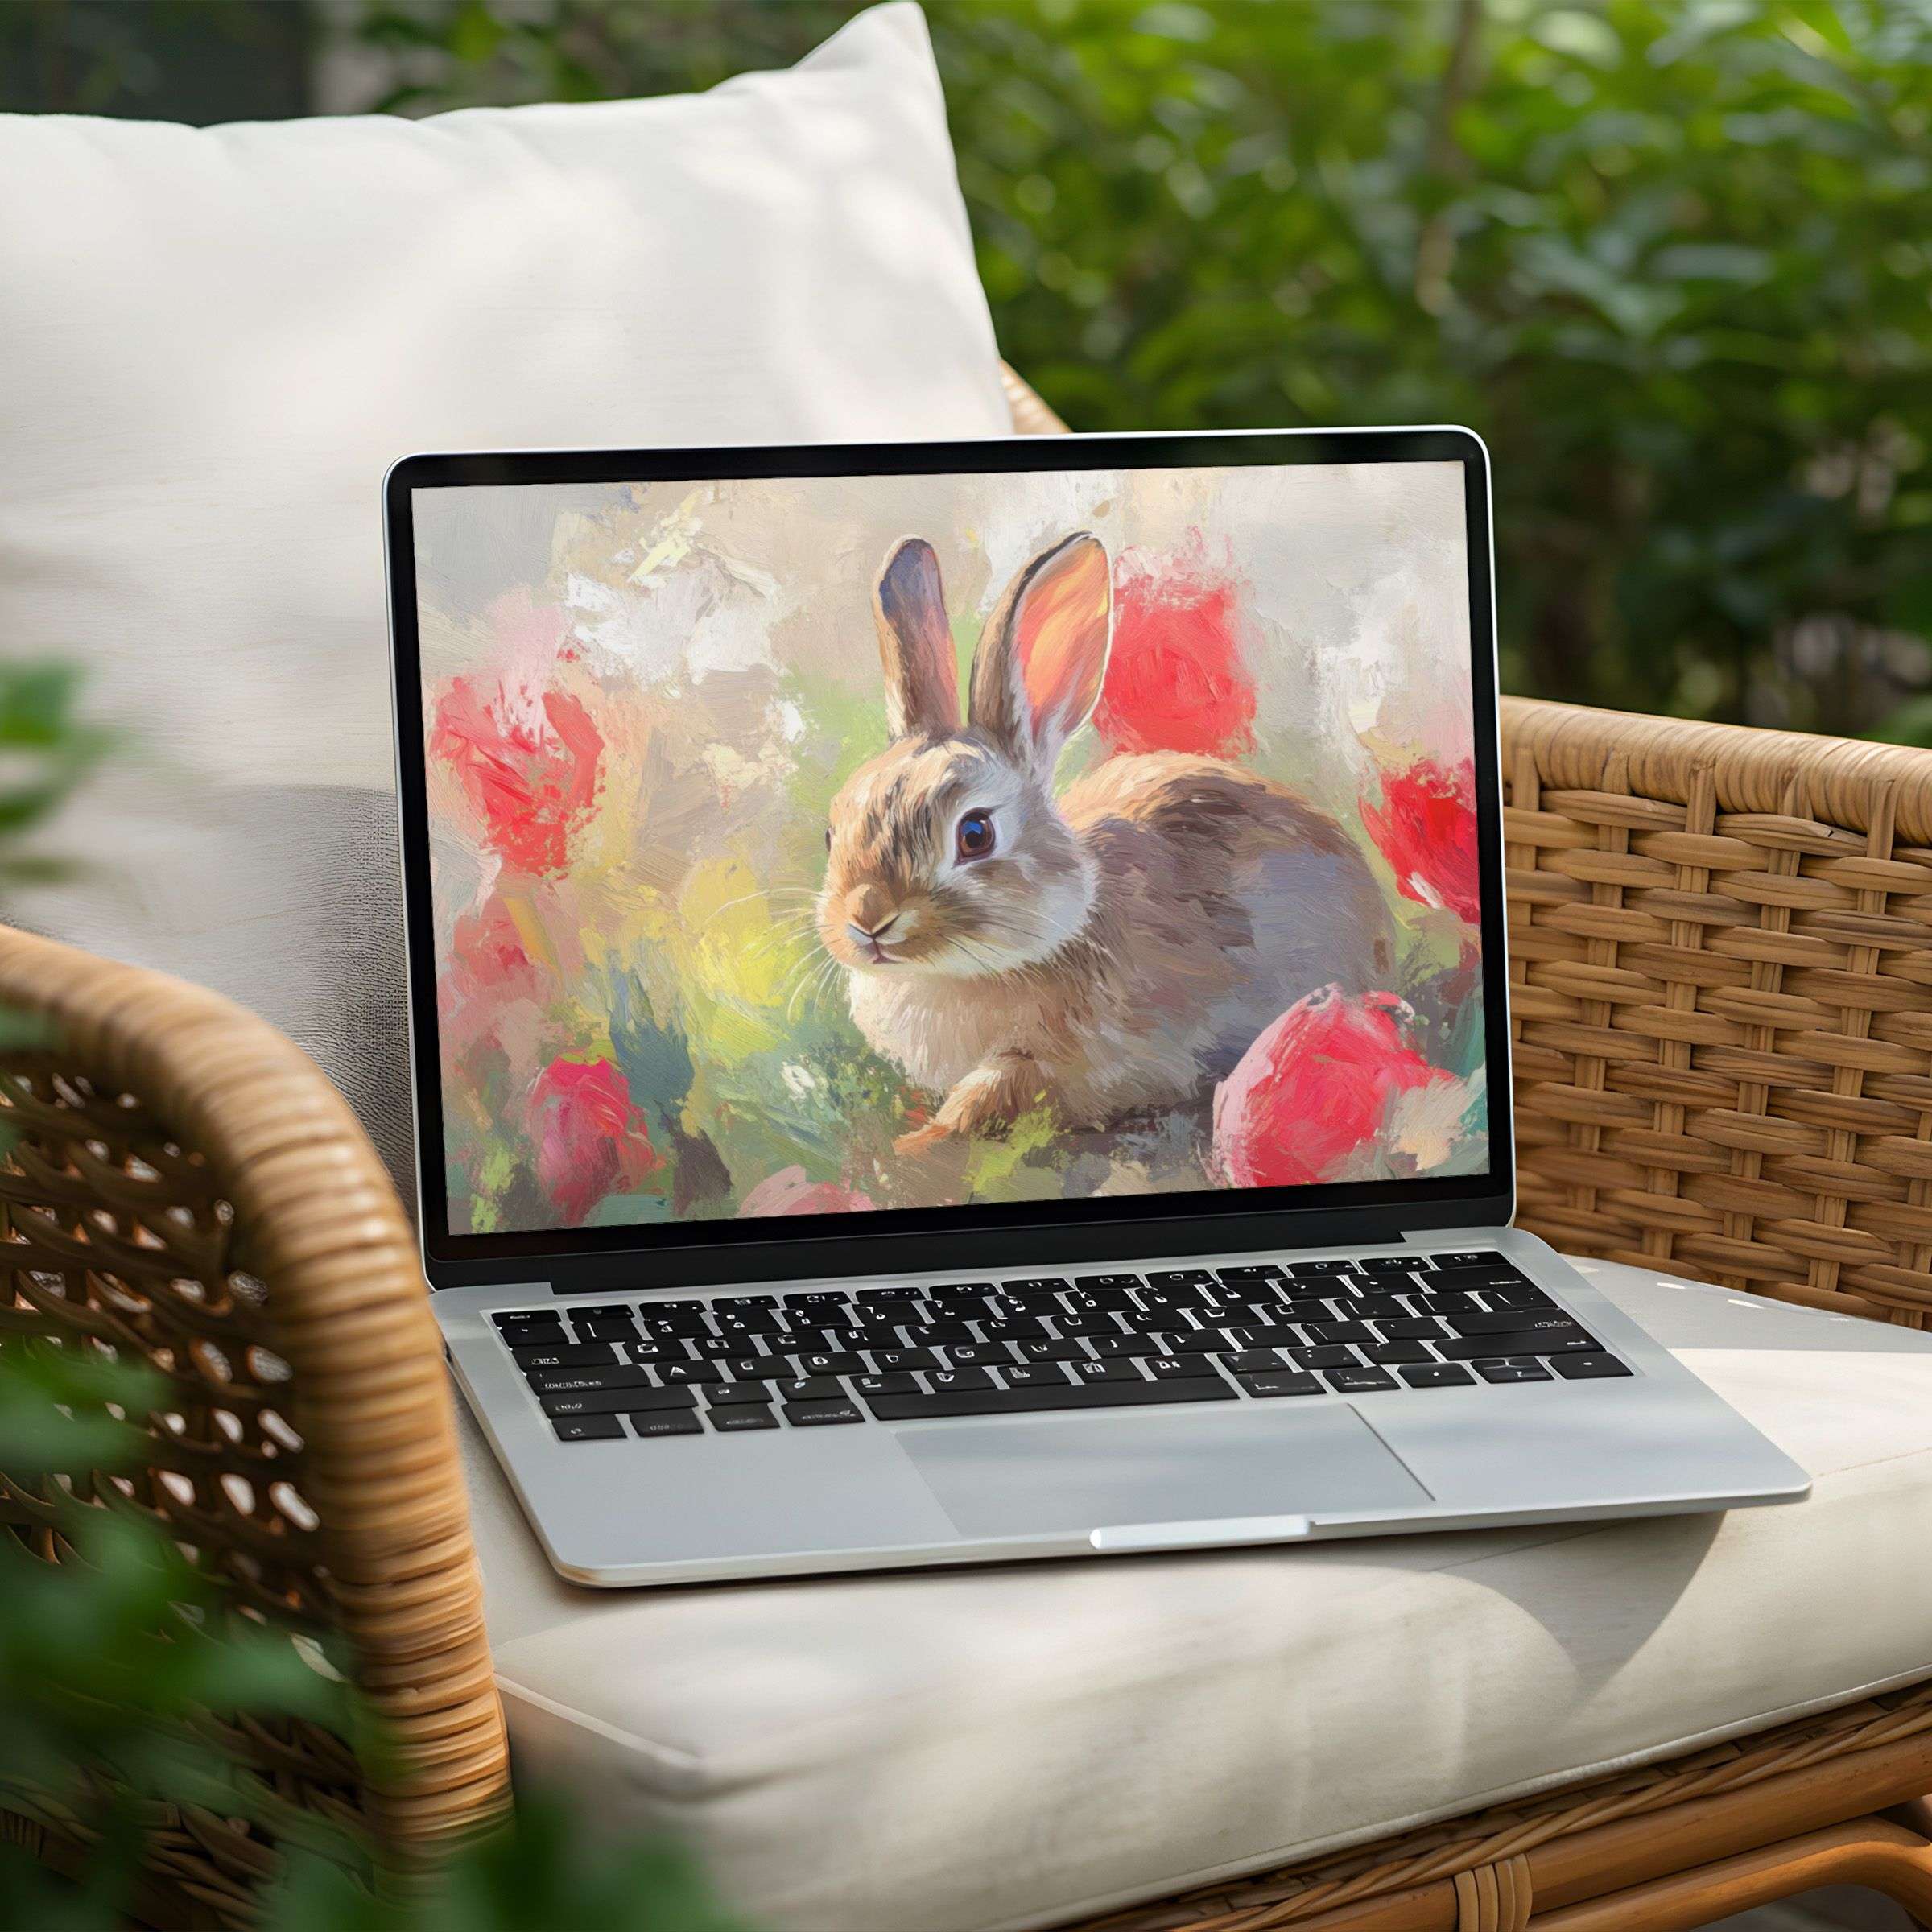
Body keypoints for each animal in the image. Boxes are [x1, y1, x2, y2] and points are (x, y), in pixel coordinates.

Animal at [817, 530, 1394, 1151]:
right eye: (832, 831)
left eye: (975, 834)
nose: (868, 918)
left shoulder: (1091, 1064)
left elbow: (995, 1093)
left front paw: (922, 1138)